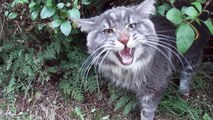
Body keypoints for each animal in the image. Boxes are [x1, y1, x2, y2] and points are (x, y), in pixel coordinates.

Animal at [75, 0, 210, 119]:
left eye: (132, 26)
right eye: (108, 31)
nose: (124, 39)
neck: (131, 71)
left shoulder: (153, 89)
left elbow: (147, 112)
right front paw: (136, 109)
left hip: (192, 54)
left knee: (187, 73)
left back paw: (183, 91)